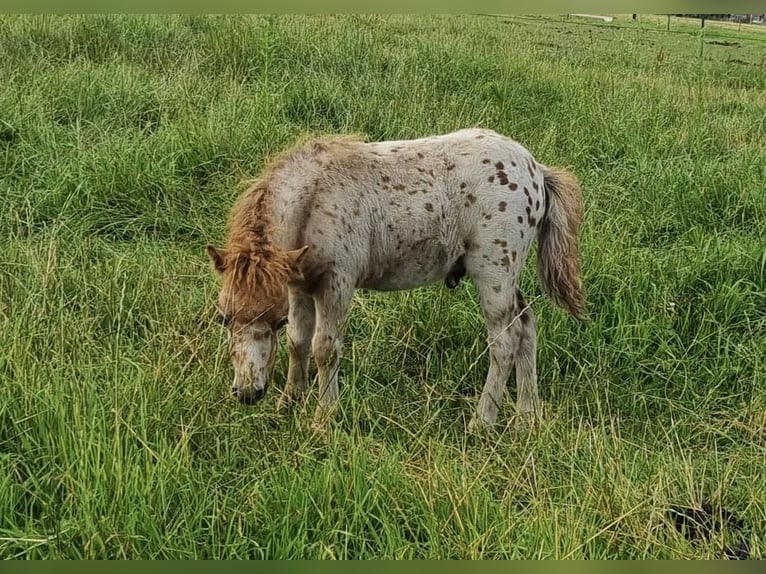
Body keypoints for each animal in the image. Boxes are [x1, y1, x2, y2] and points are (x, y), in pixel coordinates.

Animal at [207, 127, 584, 432]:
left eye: (274, 320)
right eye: (223, 318)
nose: (248, 393)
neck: (314, 201)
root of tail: (537, 170)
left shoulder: (336, 283)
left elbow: (324, 348)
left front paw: (323, 419)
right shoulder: (299, 285)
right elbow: (298, 342)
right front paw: (288, 404)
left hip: (493, 271)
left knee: (505, 341)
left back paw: (482, 422)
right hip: (506, 277)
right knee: (526, 324)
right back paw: (526, 416)